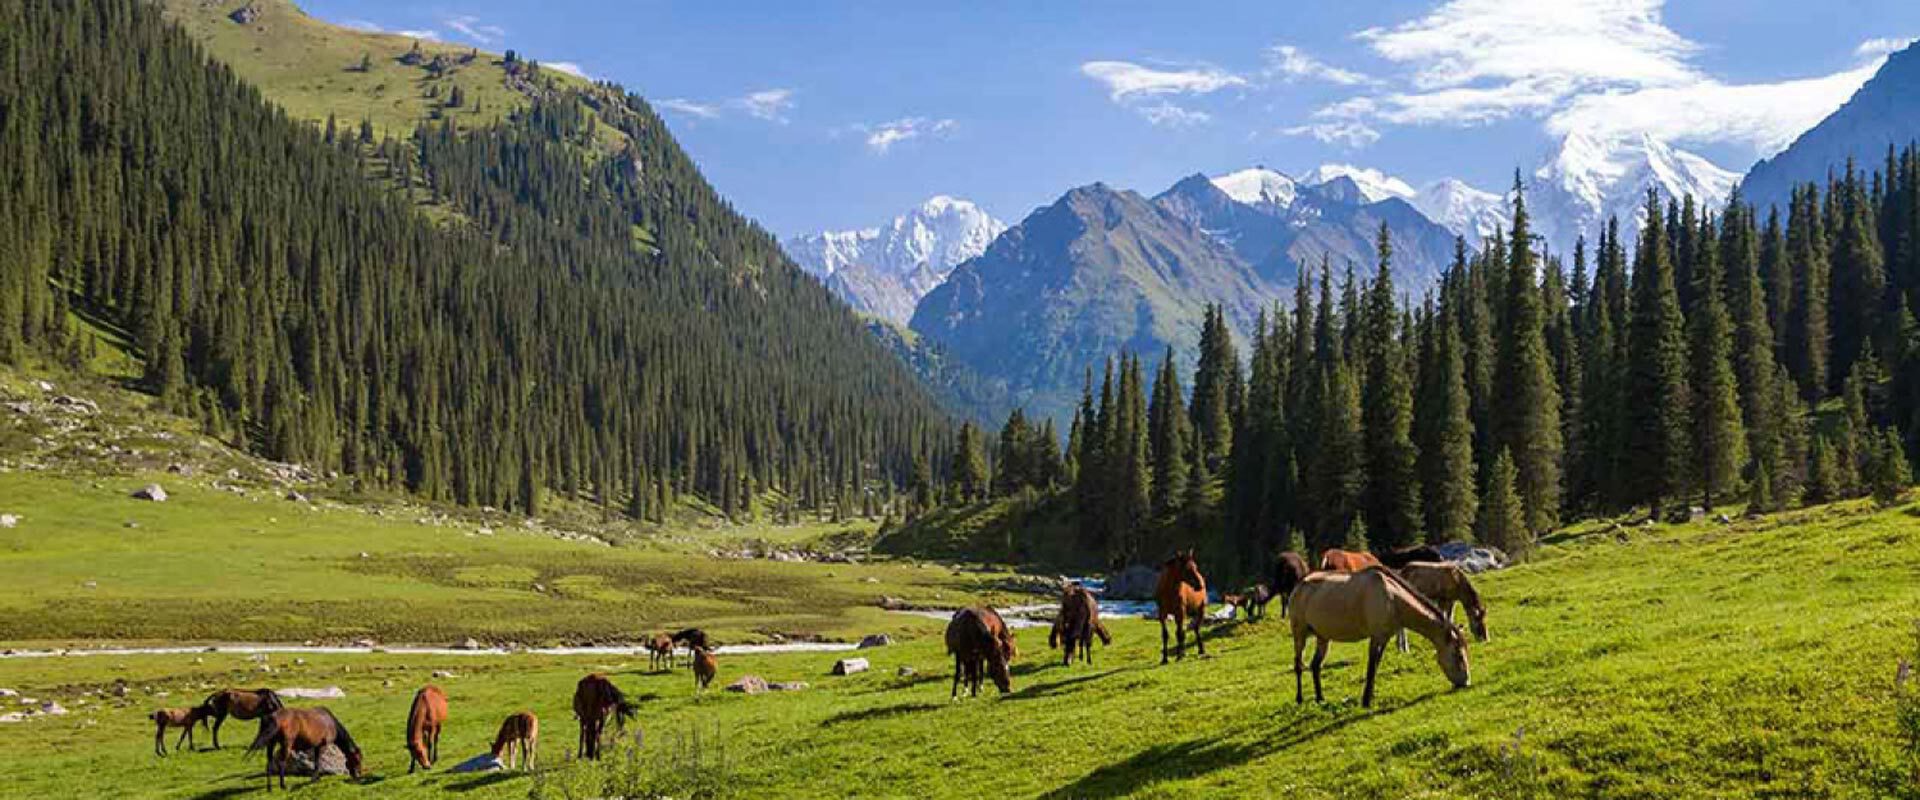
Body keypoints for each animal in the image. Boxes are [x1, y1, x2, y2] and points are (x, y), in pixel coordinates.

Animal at [1290, 564, 1466, 705]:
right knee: (1298, 665)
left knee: (1315, 666)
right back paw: (1299, 698)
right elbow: (1370, 666)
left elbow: (1376, 665)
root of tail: (1298, 585)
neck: (1392, 598)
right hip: (1299, 634)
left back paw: (1320, 698)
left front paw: (1371, 695)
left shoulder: (1385, 637)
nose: (1466, 682)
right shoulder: (1375, 637)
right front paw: (1366, 700)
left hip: (1322, 637)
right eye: (1459, 655)